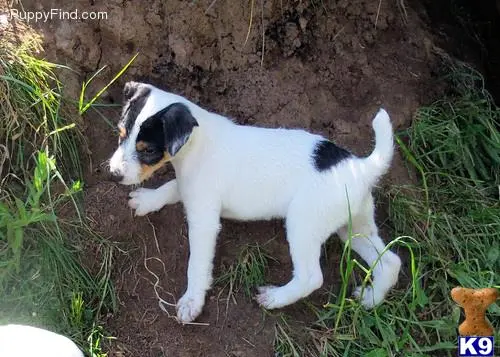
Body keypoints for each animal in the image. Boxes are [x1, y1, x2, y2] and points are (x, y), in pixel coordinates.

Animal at [109, 81, 402, 322]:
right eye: (121, 134)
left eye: (147, 150)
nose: (113, 174)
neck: (195, 144)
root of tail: (362, 167)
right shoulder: (189, 188)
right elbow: (171, 188)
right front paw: (148, 200)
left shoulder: (204, 222)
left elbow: (197, 265)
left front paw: (192, 301)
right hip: (353, 227)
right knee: (390, 262)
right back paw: (371, 298)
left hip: (304, 225)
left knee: (311, 277)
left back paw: (275, 298)